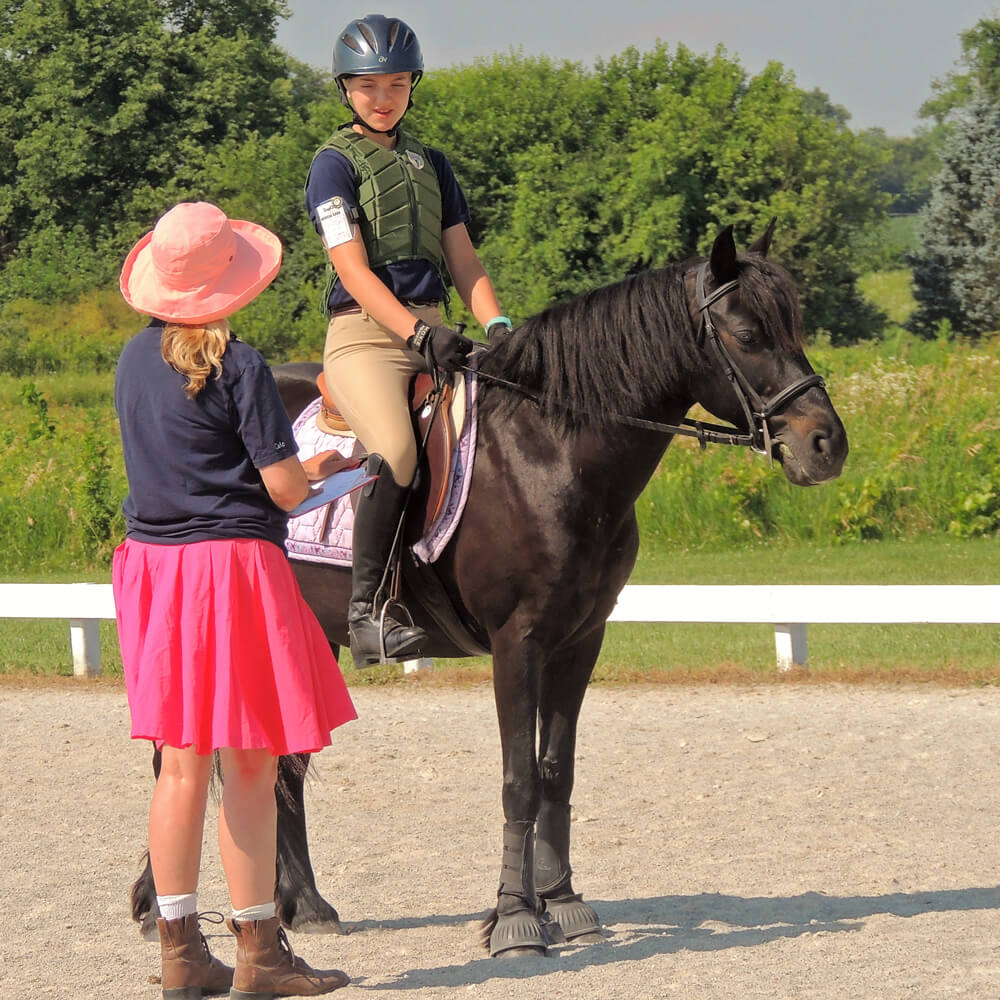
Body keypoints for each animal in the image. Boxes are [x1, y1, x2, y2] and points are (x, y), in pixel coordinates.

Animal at [131, 222, 848, 956]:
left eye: (794, 326)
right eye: (748, 334)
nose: (827, 445)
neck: (551, 450)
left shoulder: (579, 641)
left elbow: (556, 770)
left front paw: (563, 902)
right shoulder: (517, 643)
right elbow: (519, 781)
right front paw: (514, 918)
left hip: (307, 634)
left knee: (285, 766)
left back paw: (304, 907)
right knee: (178, 760)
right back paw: (160, 905)